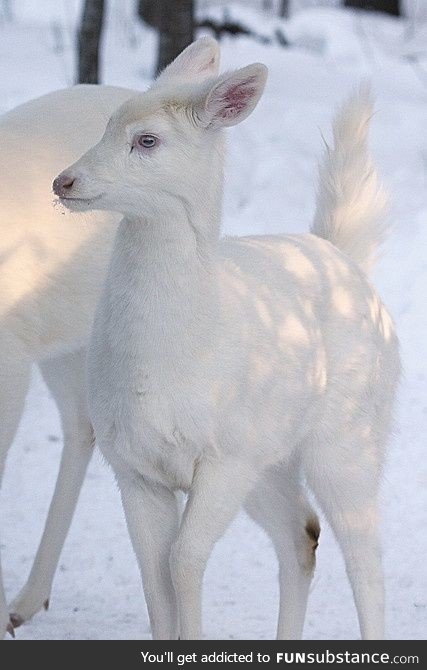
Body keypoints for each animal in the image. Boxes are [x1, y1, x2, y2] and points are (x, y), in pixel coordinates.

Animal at [0, 34, 222, 644]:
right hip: (61, 334)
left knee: (82, 425)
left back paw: (25, 600)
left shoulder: (9, 354)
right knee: (82, 423)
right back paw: (28, 599)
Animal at [54, 43, 402, 640]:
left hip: (348, 439)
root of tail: (343, 256)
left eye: (147, 139)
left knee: (365, 557)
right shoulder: (132, 465)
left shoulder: (226, 455)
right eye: (107, 124)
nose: (64, 182)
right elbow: (155, 576)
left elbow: (184, 560)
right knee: (302, 532)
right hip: (271, 461)